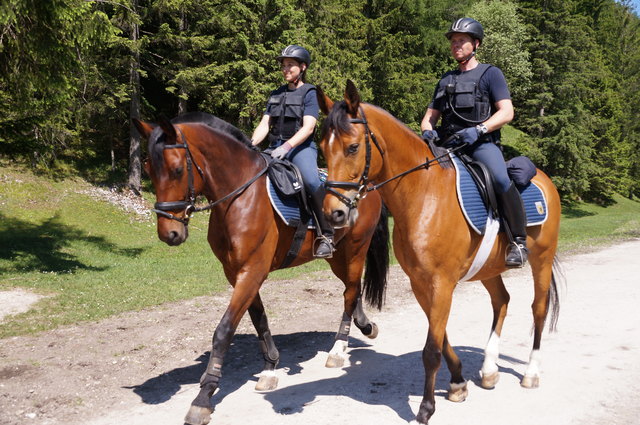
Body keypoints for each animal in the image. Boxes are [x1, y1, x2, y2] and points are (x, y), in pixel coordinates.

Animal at [133, 112, 390, 425]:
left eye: (177, 169)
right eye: (148, 168)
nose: (169, 234)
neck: (240, 196)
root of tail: (367, 187)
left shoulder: (252, 271)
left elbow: (223, 331)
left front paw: (203, 396)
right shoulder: (238, 273)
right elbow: (259, 320)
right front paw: (269, 367)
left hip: (355, 250)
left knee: (351, 291)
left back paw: (338, 351)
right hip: (336, 257)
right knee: (351, 290)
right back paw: (366, 326)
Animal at [317, 81, 562, 424]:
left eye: (352, 148)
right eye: (322, 149)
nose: (334, 213)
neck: (423, 195)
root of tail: (543, 178)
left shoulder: (441, 283)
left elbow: (431, 349)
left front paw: (426, 407)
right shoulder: (421, 284)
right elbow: (441, 336)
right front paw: (458, 383)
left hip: (541, 260)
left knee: (538, 309)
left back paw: (531, 372)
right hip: (488, 268)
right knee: (501, 301)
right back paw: (489, 369)